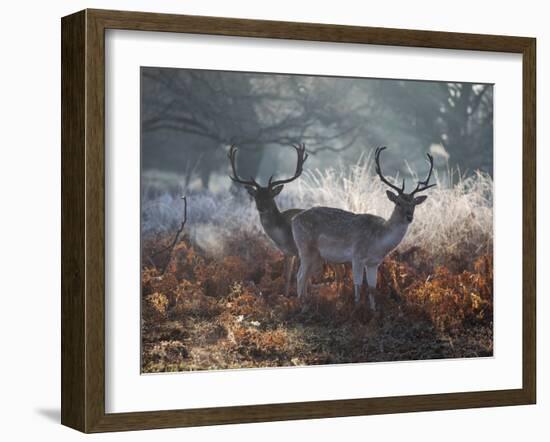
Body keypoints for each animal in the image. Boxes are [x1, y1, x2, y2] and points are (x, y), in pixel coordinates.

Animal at [229, 144, 310, 296]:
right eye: (256, 196)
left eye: (269, 196)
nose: (261, 207)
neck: (284, 235)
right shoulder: (287, 252)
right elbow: (287, 276)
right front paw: (285, 296)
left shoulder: (299, 251)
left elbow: (301, 277)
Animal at [294, 147, 436, 310]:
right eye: (398, 202)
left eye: (413, 204)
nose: (409, 217)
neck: (378, 242)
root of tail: (294, 219)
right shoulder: (356, 256)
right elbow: (358, 285)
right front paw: (356, 308)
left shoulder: (374, 263)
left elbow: (372, 288)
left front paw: (373, 310)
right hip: (305, 248)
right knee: (300, 276)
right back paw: (302, 305)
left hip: (315, 254)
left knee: (304, 277)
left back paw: (305, 302)